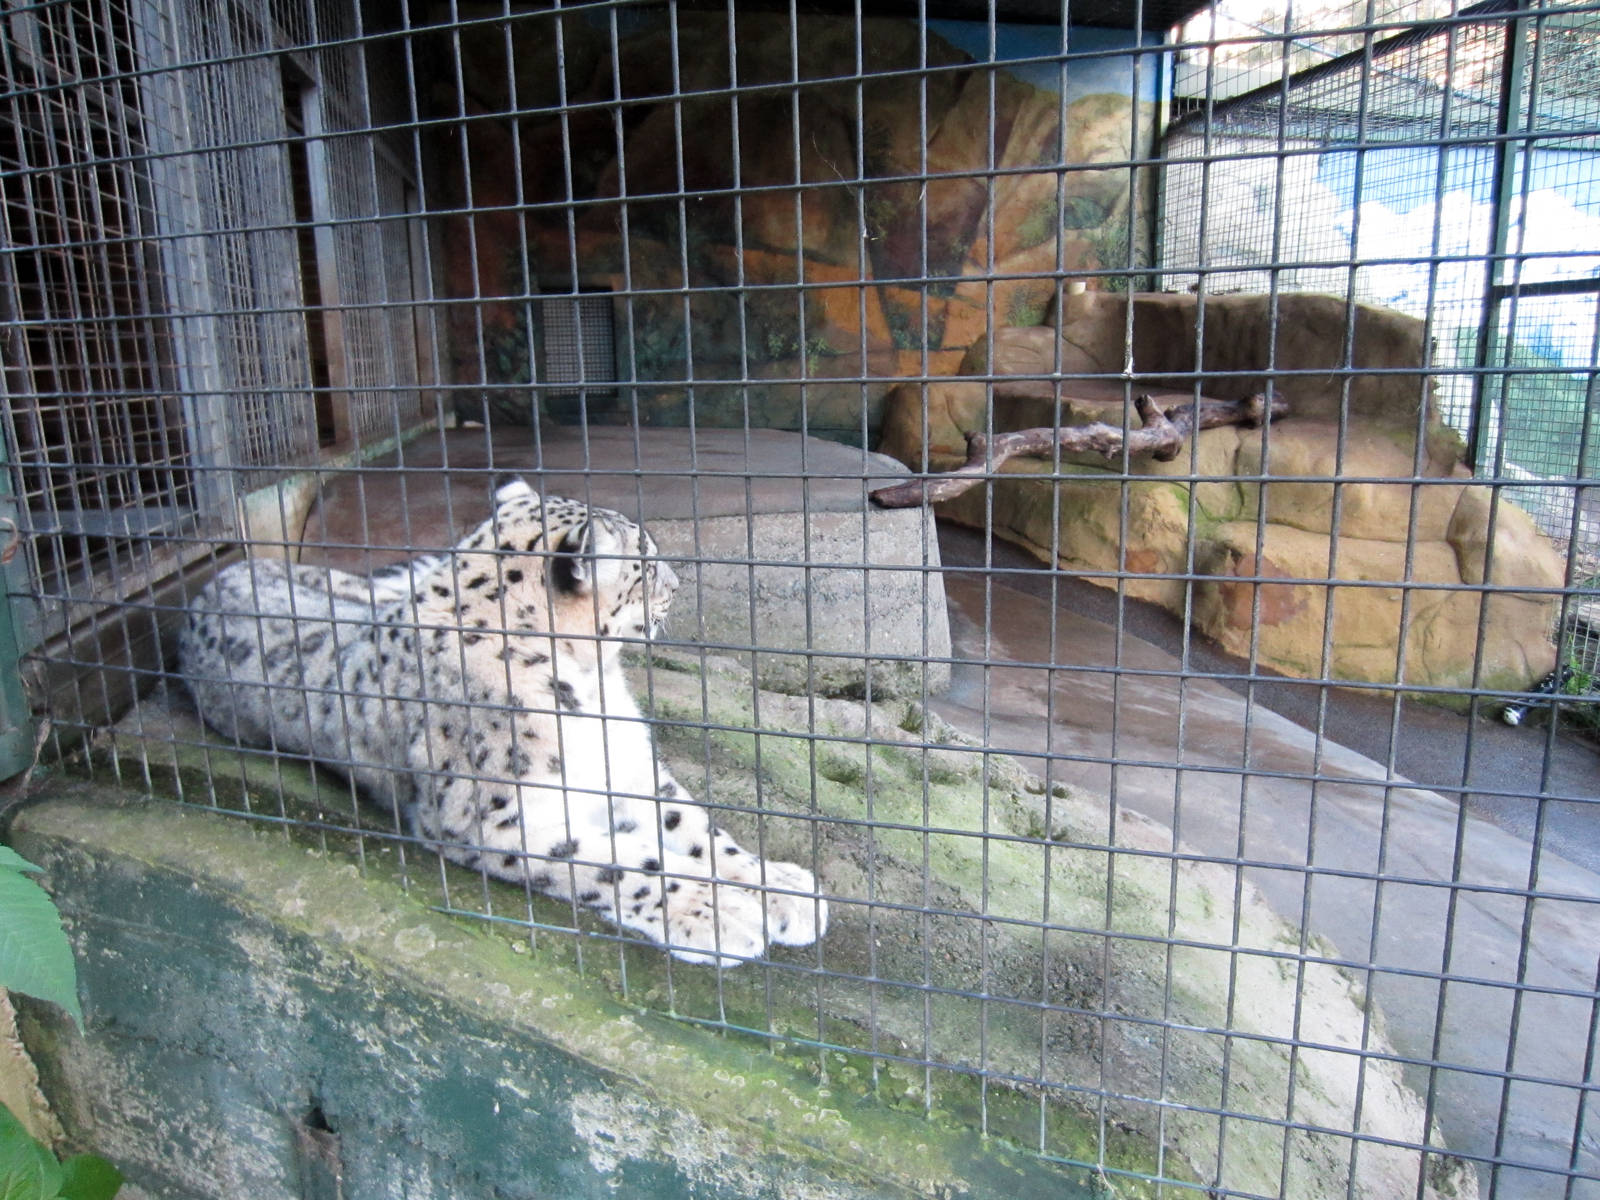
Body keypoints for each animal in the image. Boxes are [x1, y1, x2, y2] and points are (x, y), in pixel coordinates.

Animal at [178, 476, 827, 967]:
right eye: (643, 563)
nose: (676, 580)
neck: (589, 684)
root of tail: (213, 582)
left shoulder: (629, 765)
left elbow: (694, 826)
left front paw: (782, 889)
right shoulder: (492, 818)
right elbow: (618, 863)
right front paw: (716, 914)